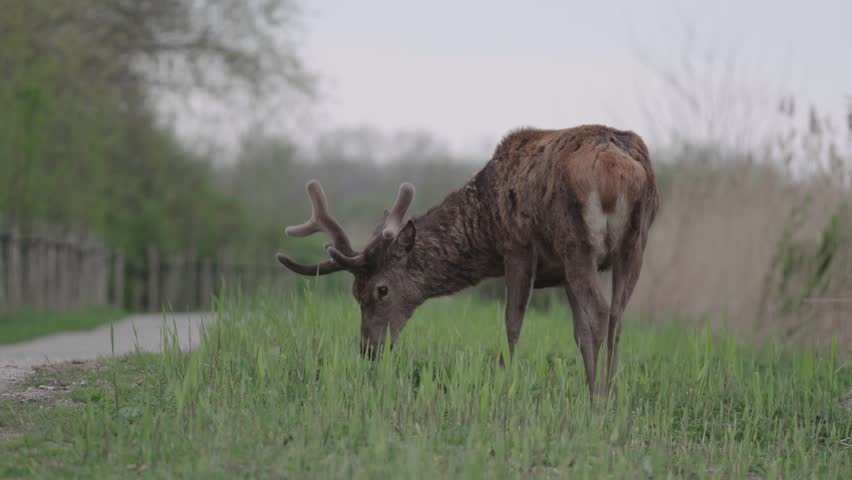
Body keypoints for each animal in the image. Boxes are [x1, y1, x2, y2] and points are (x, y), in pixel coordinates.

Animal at [276, 124, 659, 399]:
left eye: (380, 290)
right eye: (355, 293)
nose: (369, 349)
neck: (485, 220)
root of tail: (620, 170)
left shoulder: (517, 247)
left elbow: (512, 322)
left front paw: (505, 384)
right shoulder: (560, 271)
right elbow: (578, 332)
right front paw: (587, 386)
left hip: (577, 241)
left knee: (601, 310)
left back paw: (602, 397)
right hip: (634, 245)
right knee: (617, 315)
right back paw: (609, 392)